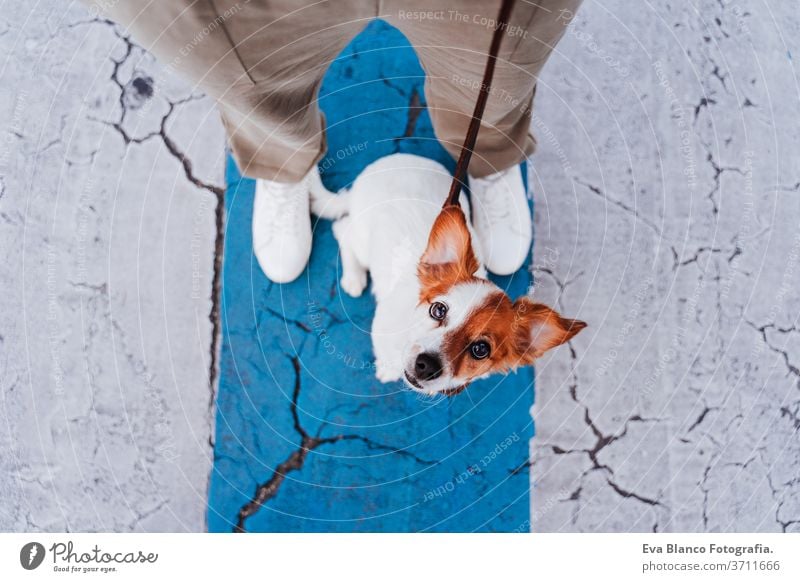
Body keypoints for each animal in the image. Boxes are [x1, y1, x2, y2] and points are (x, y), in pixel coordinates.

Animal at [308, 154, 580, 396]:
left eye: (480, 349)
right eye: (438, 310)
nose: (426, 365)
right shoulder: (381, 325)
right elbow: (386, 353)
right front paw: (388, 369)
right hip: (363, 238)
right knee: (341, 230)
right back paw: (353, 278)